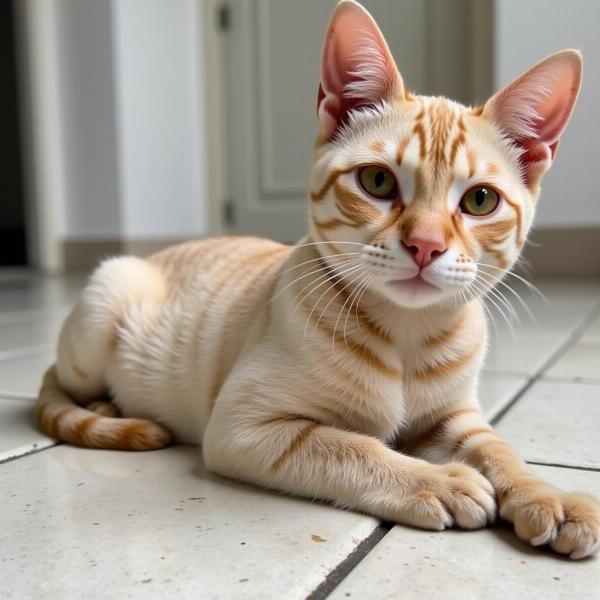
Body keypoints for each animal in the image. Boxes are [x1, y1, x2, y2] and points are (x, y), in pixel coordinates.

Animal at [38, 1, 600, 564]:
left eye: (480, 200)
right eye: (377, 182)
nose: (425, 245)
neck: (406, 333)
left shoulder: (456, 418)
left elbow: (500, 450)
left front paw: (548, 497)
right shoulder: (245, 425)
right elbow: (353, 446)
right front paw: (438, 481)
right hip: (104, 307)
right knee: (62, 383)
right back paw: (102, 405)